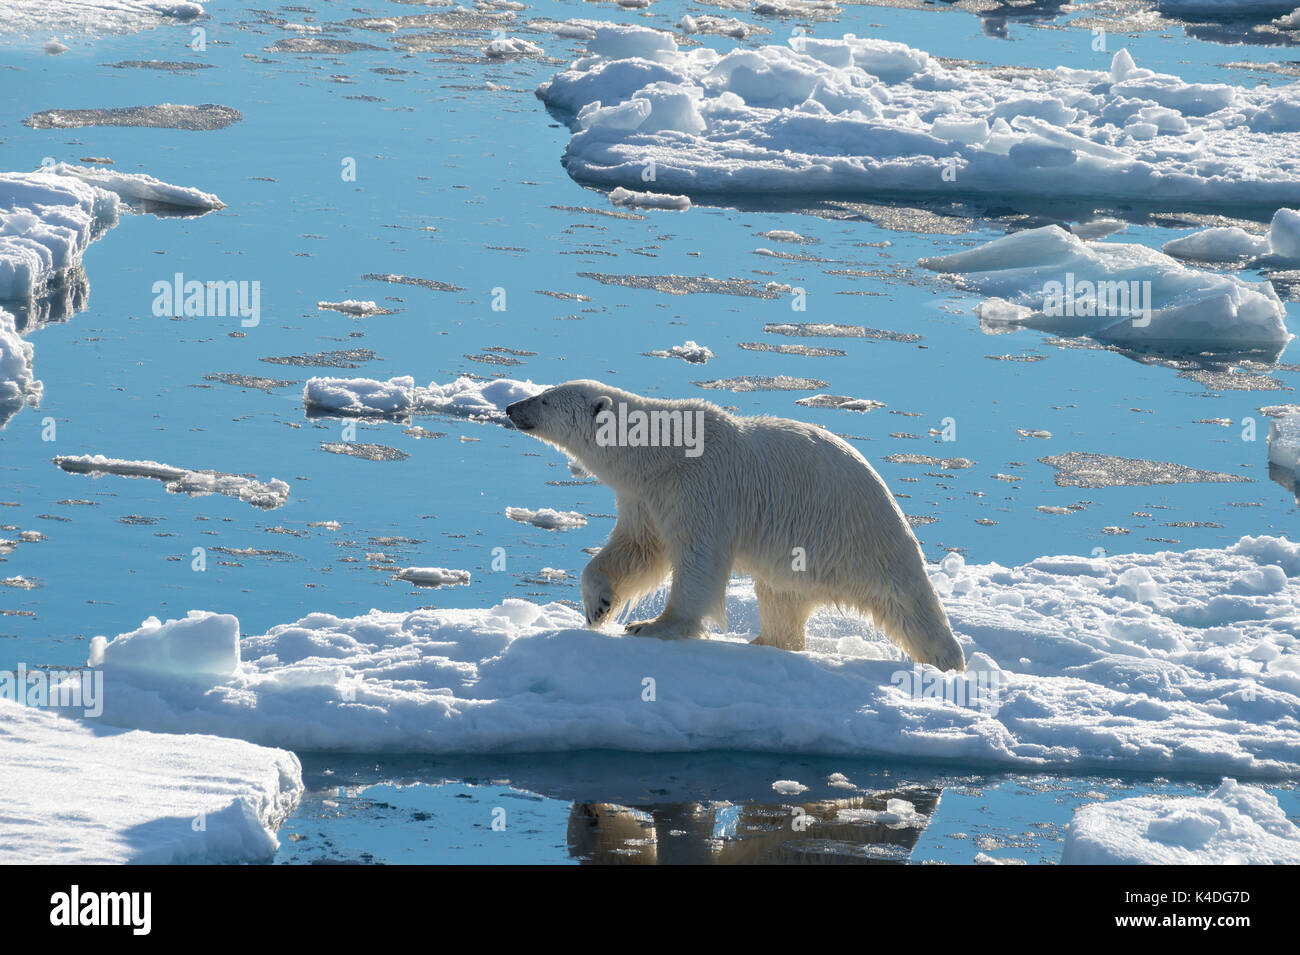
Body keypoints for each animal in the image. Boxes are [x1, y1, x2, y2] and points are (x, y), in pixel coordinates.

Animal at [504, 382, 967, 670]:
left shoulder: (702, 488)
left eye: (544, 399)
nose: (510, 407)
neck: (661, 452)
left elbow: (698, 561)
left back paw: (947, 662)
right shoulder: (646, 497)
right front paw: (597, 605)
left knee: (908, 604)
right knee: (782, 600)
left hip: (856, 537)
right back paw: (765, 642)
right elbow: (637, 549)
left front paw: (651, 626)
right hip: (795, 561)